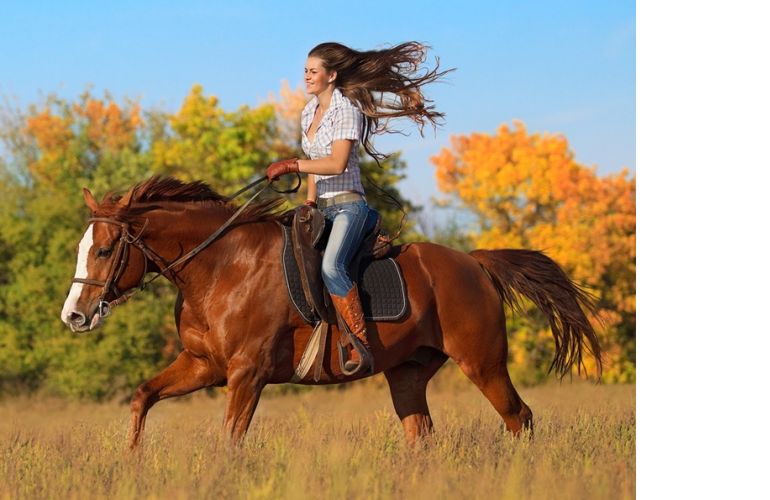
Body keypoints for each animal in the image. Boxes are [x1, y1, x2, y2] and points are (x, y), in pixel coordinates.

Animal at [59, 176, 602, 448]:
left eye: (104, 250)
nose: (74, 317)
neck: (221, 267)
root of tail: (475, 262)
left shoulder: (247, 373)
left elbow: (230, 440)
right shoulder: (203, 366)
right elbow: (142, 398)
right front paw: (132, 464)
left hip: (483, 364)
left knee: (519, 418)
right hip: (408, 374)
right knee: (421, 435)